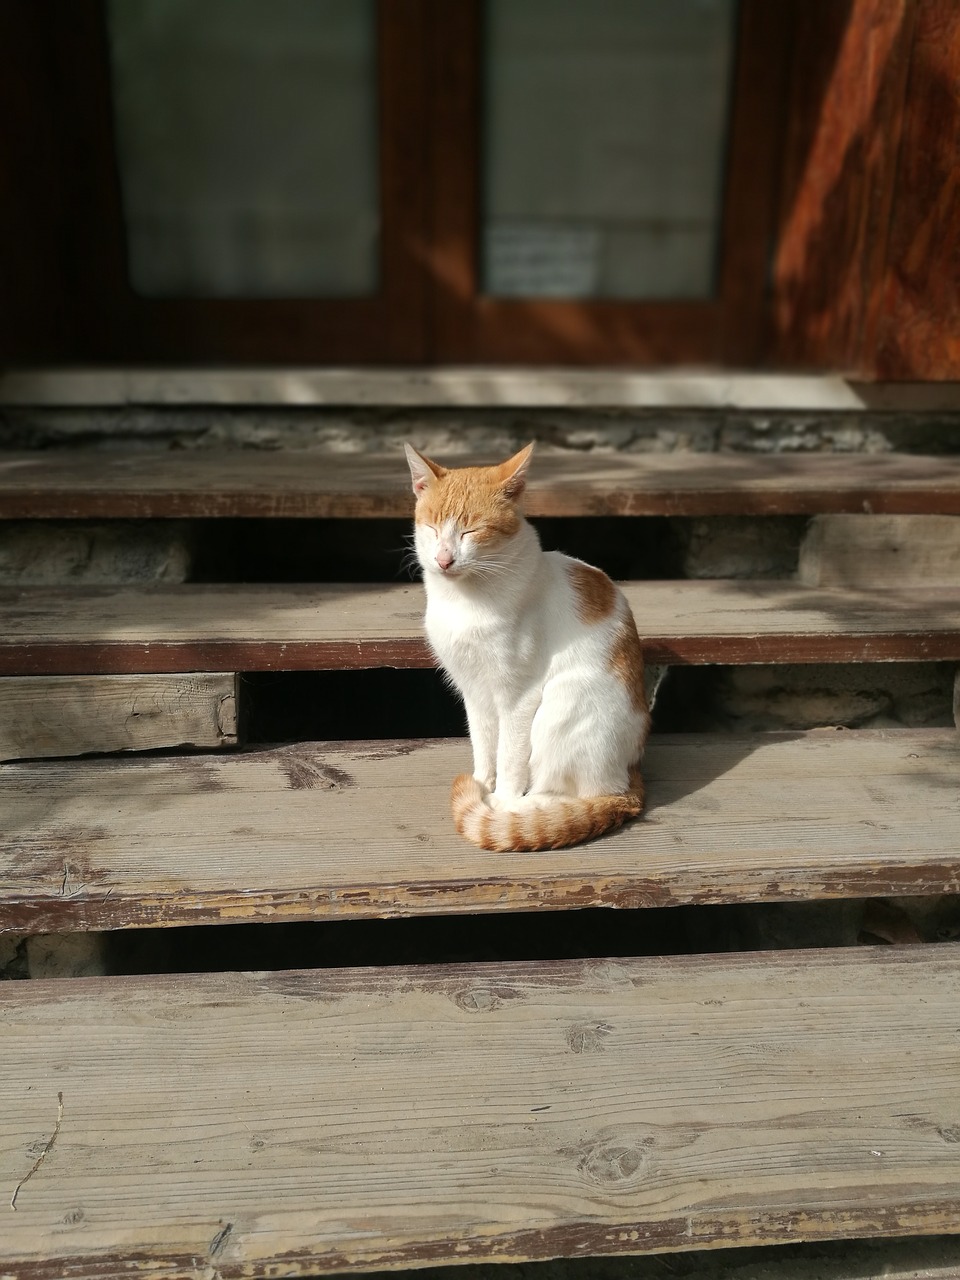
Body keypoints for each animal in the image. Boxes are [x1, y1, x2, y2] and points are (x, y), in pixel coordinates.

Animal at [401, 440, 650, 849]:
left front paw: (498, 798)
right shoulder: (473, 690)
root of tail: (630, 776)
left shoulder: (518, 696)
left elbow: (510, 756)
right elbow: (484, 745)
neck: (465, 600)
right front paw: (481, 782)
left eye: (471, 531)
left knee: (570, 795)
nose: (443, 559)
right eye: (433, 528)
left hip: (563, 703)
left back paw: (515, 810)